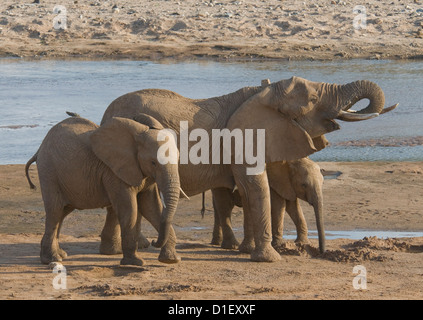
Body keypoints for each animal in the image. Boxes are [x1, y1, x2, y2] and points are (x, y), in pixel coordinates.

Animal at [25, 114, 185, 266]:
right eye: (153, 162)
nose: (153, 242)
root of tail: (39, 149)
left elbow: (152, 208)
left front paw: (171, 260)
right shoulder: (114, 171)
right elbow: (130, 209)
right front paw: (135, 262)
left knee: (62, 213)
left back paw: (61, 254)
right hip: (49, 171)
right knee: (55, 211)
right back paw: (52, 259)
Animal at [98, 76, 398, 262]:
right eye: (313, 99)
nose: (323, 253)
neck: (263, 92)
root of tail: (104, 114)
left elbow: (246, 189)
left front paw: (247, 251)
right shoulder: (243, 138)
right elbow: (256, 186)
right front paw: (269, 258)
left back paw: (119, 251)